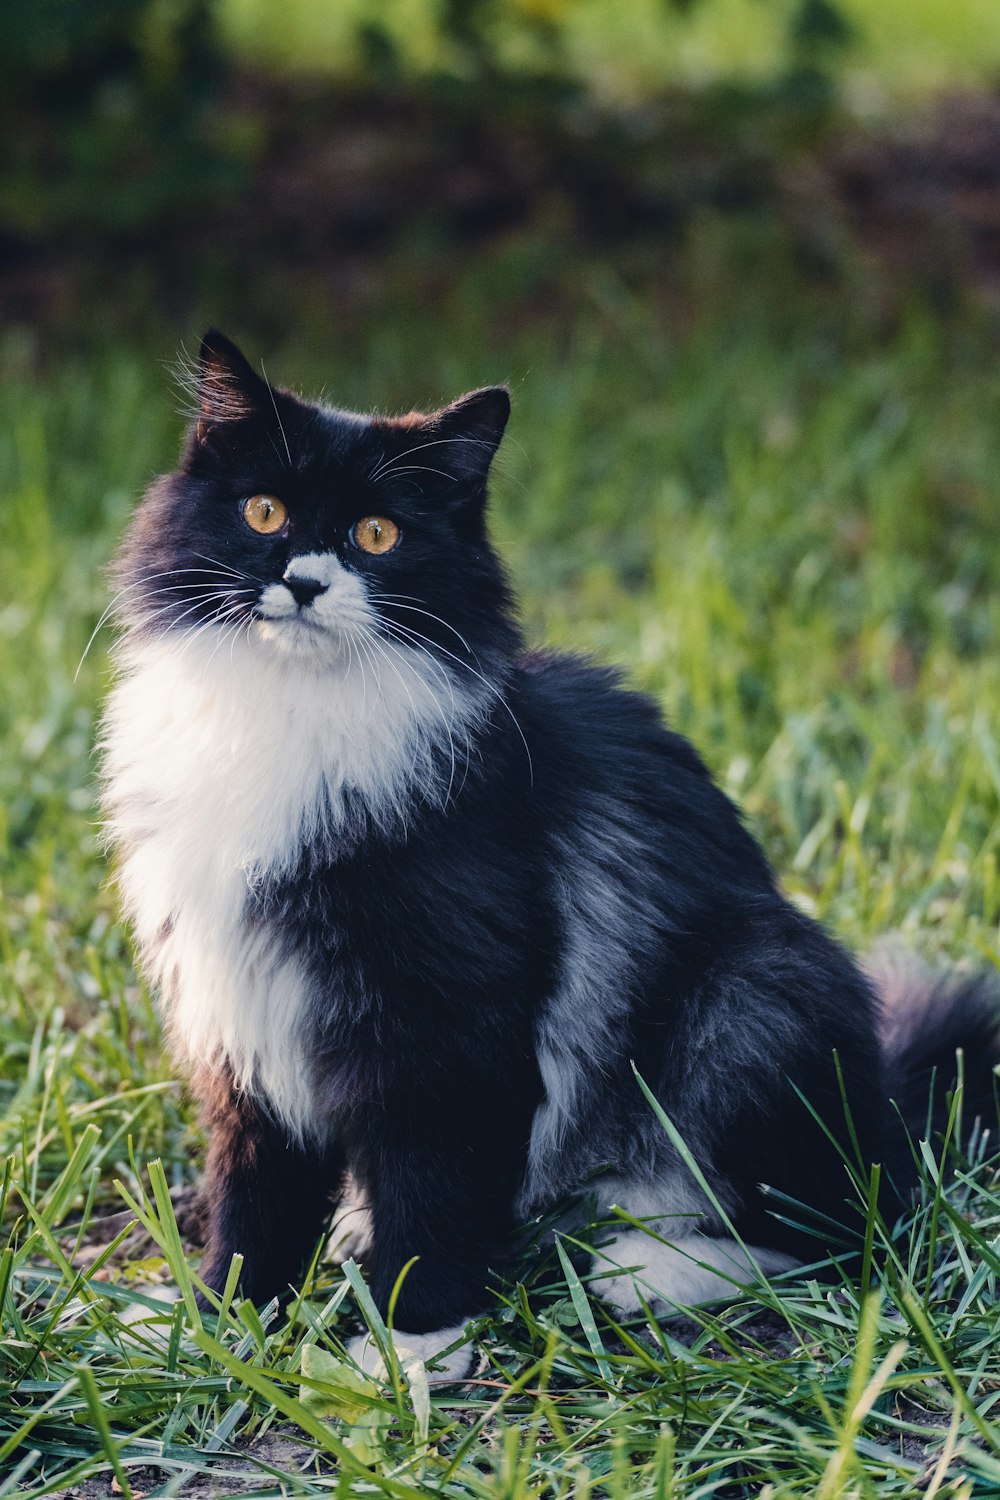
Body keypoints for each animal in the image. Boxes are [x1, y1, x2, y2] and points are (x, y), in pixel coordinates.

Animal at [99, 334, 1000, 1374]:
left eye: (378, 535)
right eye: (263, 512)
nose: (305, 582)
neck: (290, 712)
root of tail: (892, 1094)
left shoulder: (452, 1012)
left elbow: (435, 1189)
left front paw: (408, 1343)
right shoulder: (237, 1005)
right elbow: (256, 1196)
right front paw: (217, 1322)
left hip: (752, 994)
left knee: (850, 1228)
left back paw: (650, 1272)